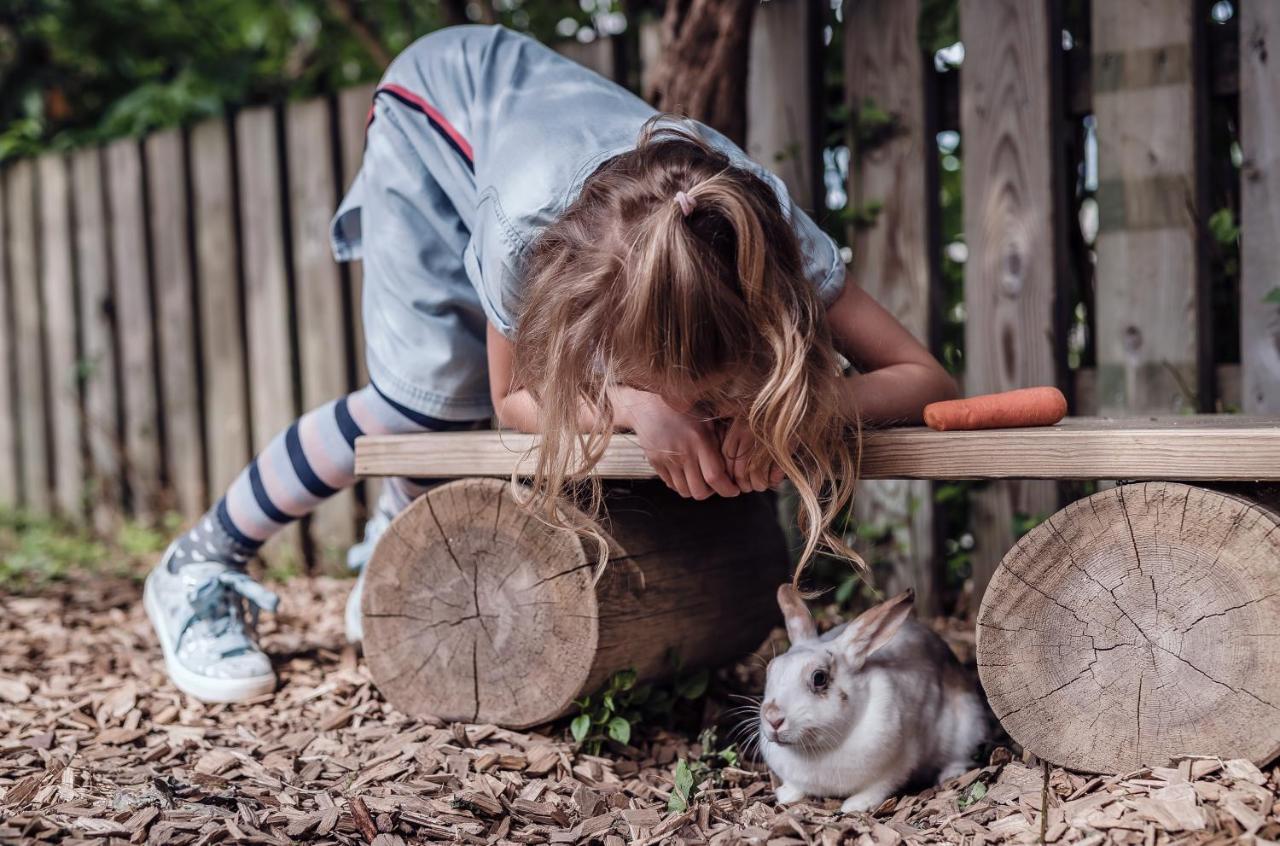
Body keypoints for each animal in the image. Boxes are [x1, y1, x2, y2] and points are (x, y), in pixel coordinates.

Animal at [757, 581, 988, 814]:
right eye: (770, 670)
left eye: (819, 678)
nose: (773, 718)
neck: (818, 749)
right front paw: (786, 795)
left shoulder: (896, 766)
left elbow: (878, 788)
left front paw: (855, 805)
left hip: (969, 726)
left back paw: (951, 774)